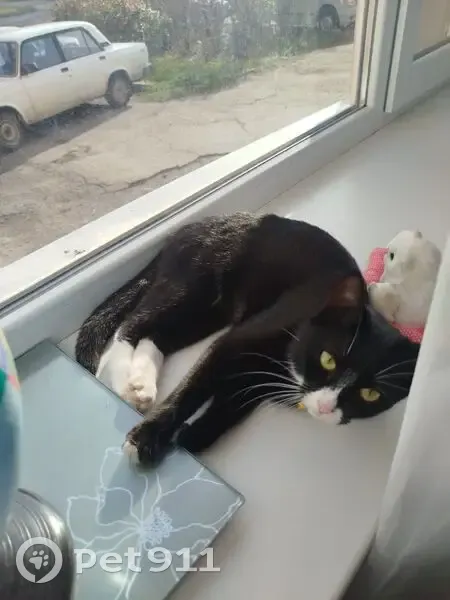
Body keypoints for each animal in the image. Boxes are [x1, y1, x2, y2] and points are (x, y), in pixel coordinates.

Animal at [75, 212, 420, 466]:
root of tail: (189, 228)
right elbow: (193, 387)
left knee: (160, 336)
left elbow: (233, 403)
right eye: (328, 359)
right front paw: (146, 438)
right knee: (133, 324)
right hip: (192, 283)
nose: (324, 407)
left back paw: (142, 382)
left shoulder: (256, 381)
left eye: (370, 394)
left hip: (207, 313)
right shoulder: (236, 342)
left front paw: (192, 436)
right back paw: (121, 378)